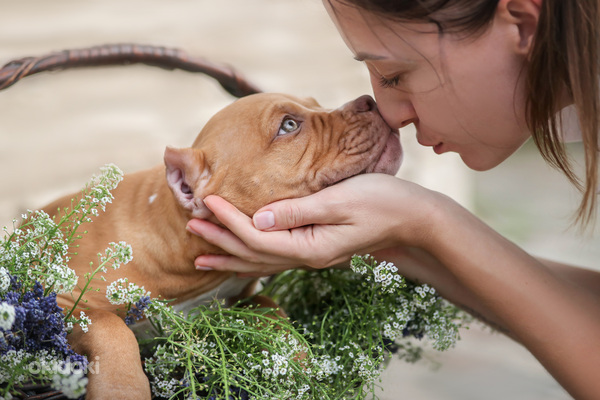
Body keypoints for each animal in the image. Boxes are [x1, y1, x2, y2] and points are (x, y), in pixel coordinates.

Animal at [44, 93, 400, 396]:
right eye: (288, 125)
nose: (369, 100)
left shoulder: (237, 298)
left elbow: (268, 306)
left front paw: (296, 359)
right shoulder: (62, 300)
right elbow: (110, 325)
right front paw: (122, 388)